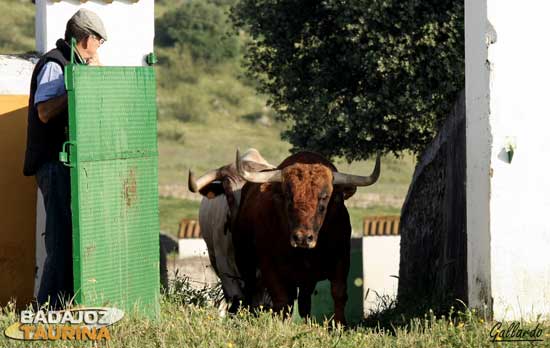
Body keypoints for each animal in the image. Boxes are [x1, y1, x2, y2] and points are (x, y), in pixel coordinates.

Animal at [232, 151, 380, 324]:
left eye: (325, 197)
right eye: (288, 197)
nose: (302, 238)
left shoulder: (341, 260)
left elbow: (338, 293)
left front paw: (339, 325)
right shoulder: (270, 266)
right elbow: (281, 300)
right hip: (245, 260)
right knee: (251, 290)